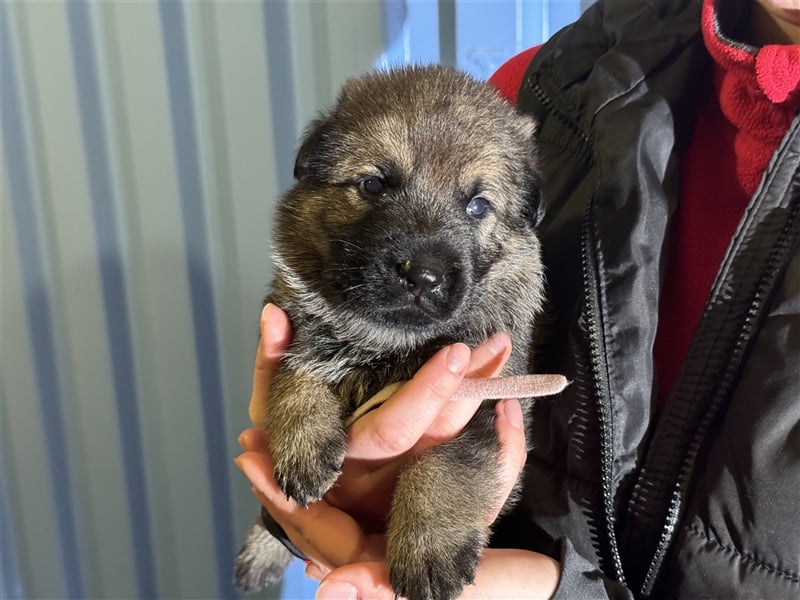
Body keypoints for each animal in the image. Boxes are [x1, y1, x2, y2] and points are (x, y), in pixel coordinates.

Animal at [234, 65, 548, 600]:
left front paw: (428, 550)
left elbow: (444, 464)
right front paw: (303, 443)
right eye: (375, 184)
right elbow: (295, 373)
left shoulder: (486, 400)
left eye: (478, 205)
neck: (388, 339)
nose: (423, 276)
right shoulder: (291, 321)